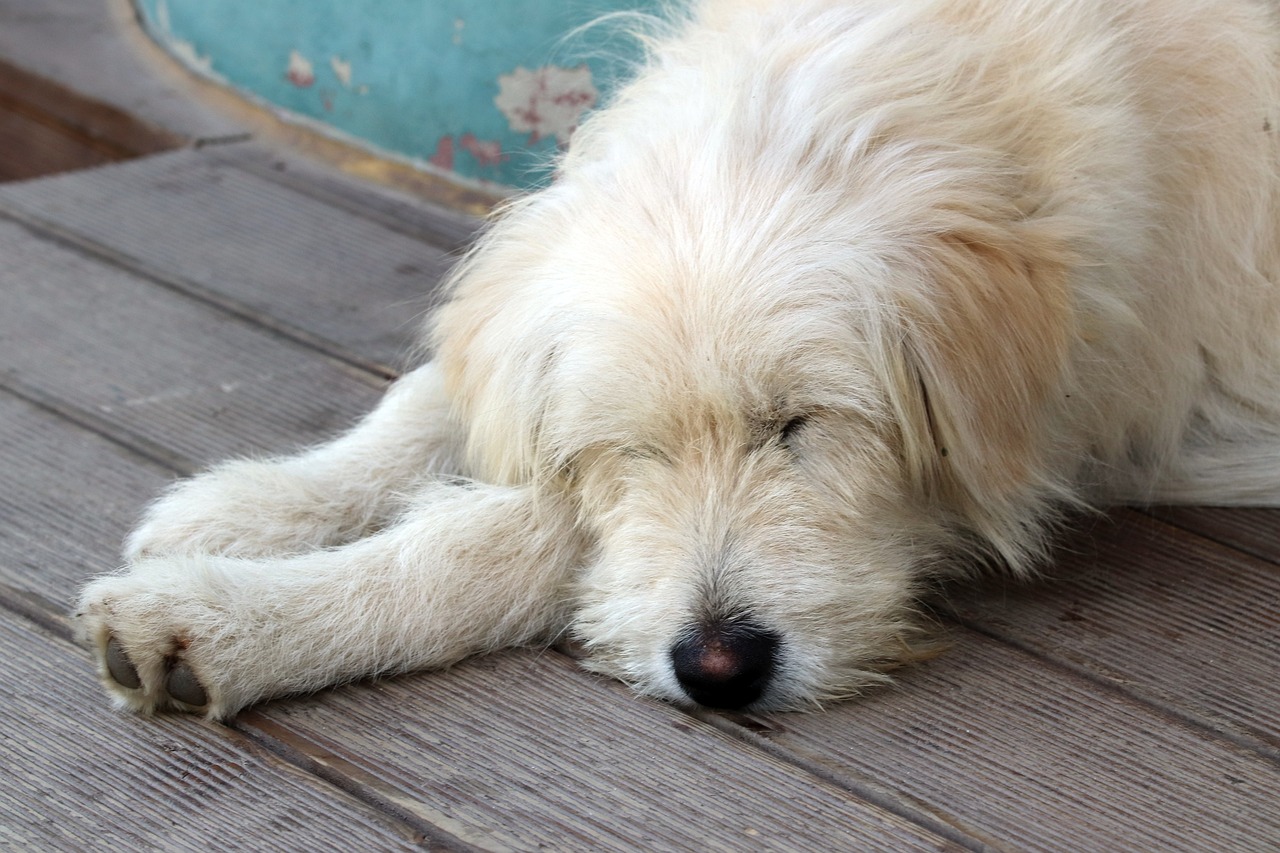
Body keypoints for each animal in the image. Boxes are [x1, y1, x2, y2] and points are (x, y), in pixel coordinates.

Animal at [77, 0, 1280, 717]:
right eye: (626, 448)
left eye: (798, 424)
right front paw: (255, 504)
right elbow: (435, 398)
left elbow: (509, 538)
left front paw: (236, 617)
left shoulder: (1026, 455)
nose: (719, 671)